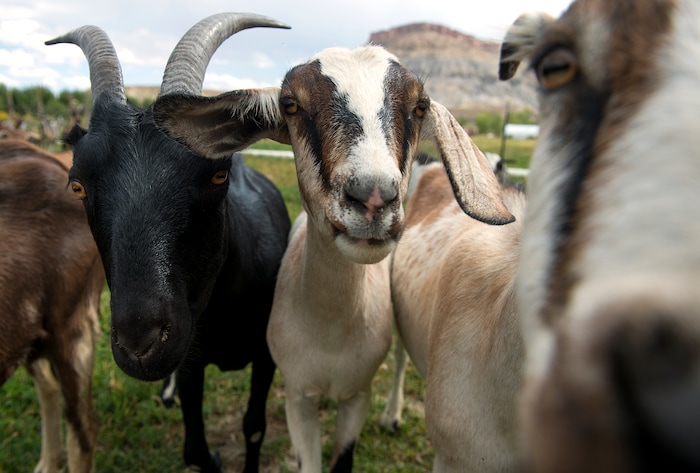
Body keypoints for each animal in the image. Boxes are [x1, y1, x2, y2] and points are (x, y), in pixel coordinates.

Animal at [45, 13, 291, 473]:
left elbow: (254, 426)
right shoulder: (191, 358)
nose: (140, 342)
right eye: (77, 185)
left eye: (218, 174)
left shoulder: (266, 354)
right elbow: (194, 448)